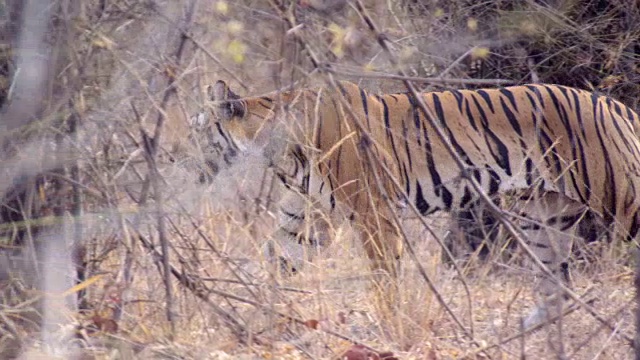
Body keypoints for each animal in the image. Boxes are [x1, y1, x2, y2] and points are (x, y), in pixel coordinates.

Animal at [195, 80, 640, 328]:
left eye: (198, 128)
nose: (183, 156)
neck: (275, 150)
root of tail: (619, 106)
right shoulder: (303, 216)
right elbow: (274, 262)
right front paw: (244, 315)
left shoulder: (373, 212)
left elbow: (384, 278)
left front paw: (390, 326)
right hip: (544, 217)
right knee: (557, 285)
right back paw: (521, 331)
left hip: (621, 199)